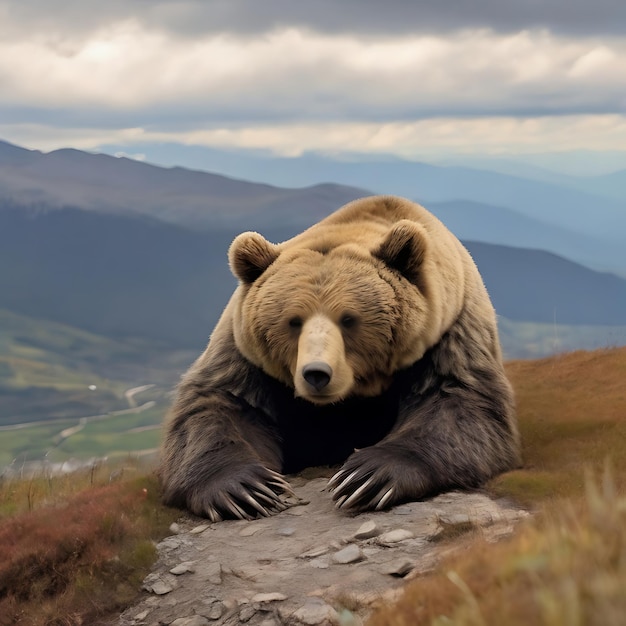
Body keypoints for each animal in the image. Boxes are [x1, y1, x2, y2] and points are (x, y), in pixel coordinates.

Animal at [158, 194, 520, 516]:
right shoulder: (245, 353)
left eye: (348, 319)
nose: (316, 373)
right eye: (293, 321)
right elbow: (221, 405)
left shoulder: (448, 331)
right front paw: (247, 489)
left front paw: (366, 477)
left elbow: (457, 403)